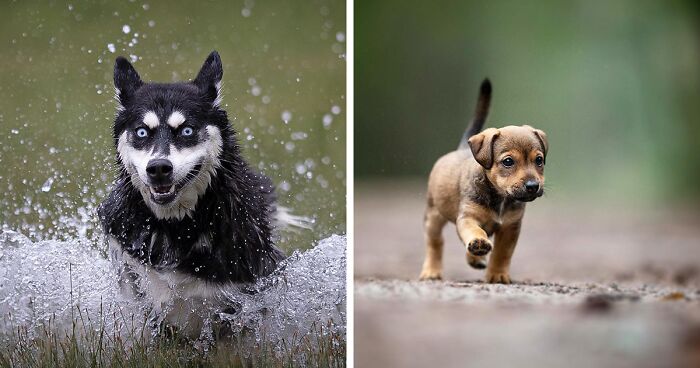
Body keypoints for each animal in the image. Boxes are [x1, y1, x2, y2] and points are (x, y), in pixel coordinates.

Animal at [418, 79, 548, 284]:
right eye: (508, 161)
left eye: (539, 160)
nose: (533, 186)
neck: (500, 197)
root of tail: (461, 148)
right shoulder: (467, 218)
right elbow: (474, 231)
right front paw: (479, 244)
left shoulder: (510, 228)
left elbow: (502, 254)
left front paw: (498, 274)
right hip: (433, 217)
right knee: (435, 243)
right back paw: (432, 270)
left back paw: (476, 258)